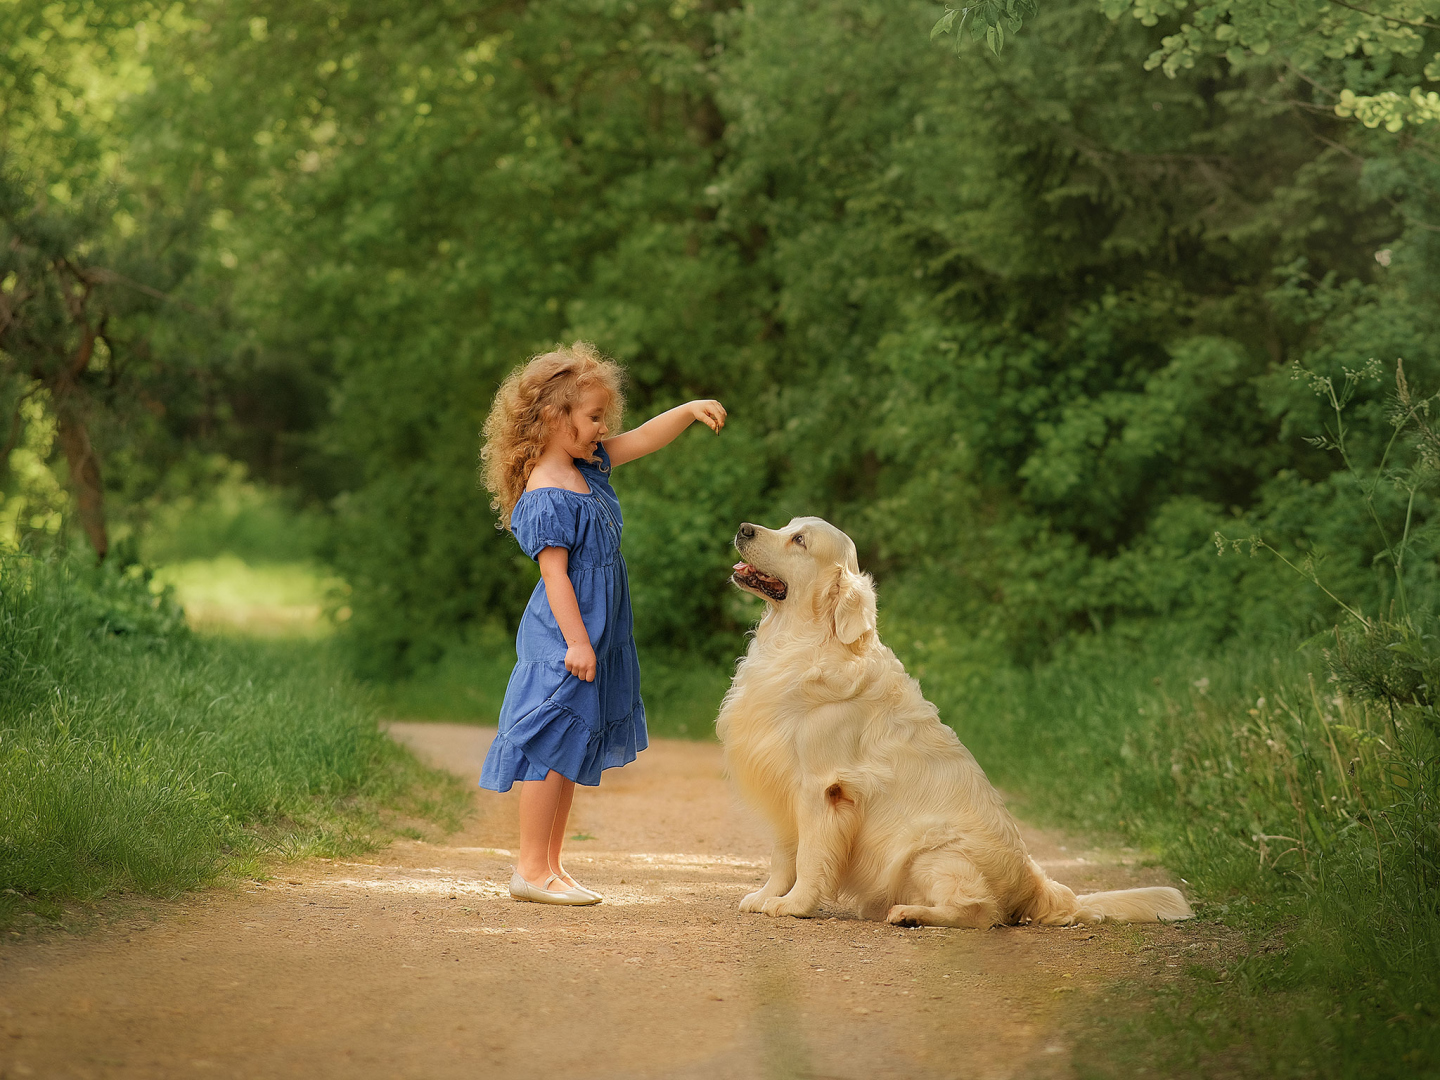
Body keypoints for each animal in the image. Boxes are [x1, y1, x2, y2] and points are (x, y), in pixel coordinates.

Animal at [720, 518, 1192, 933]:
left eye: (799, 540)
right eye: (786, 525)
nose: (743, 528)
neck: (802, 642)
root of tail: (1037, 884)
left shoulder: (823, 789)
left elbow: (810, 859)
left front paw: (794, 905)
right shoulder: (782, 784)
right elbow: (784, 856)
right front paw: (767, 896)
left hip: (933, 851)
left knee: (980, 911)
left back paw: (911, 915)